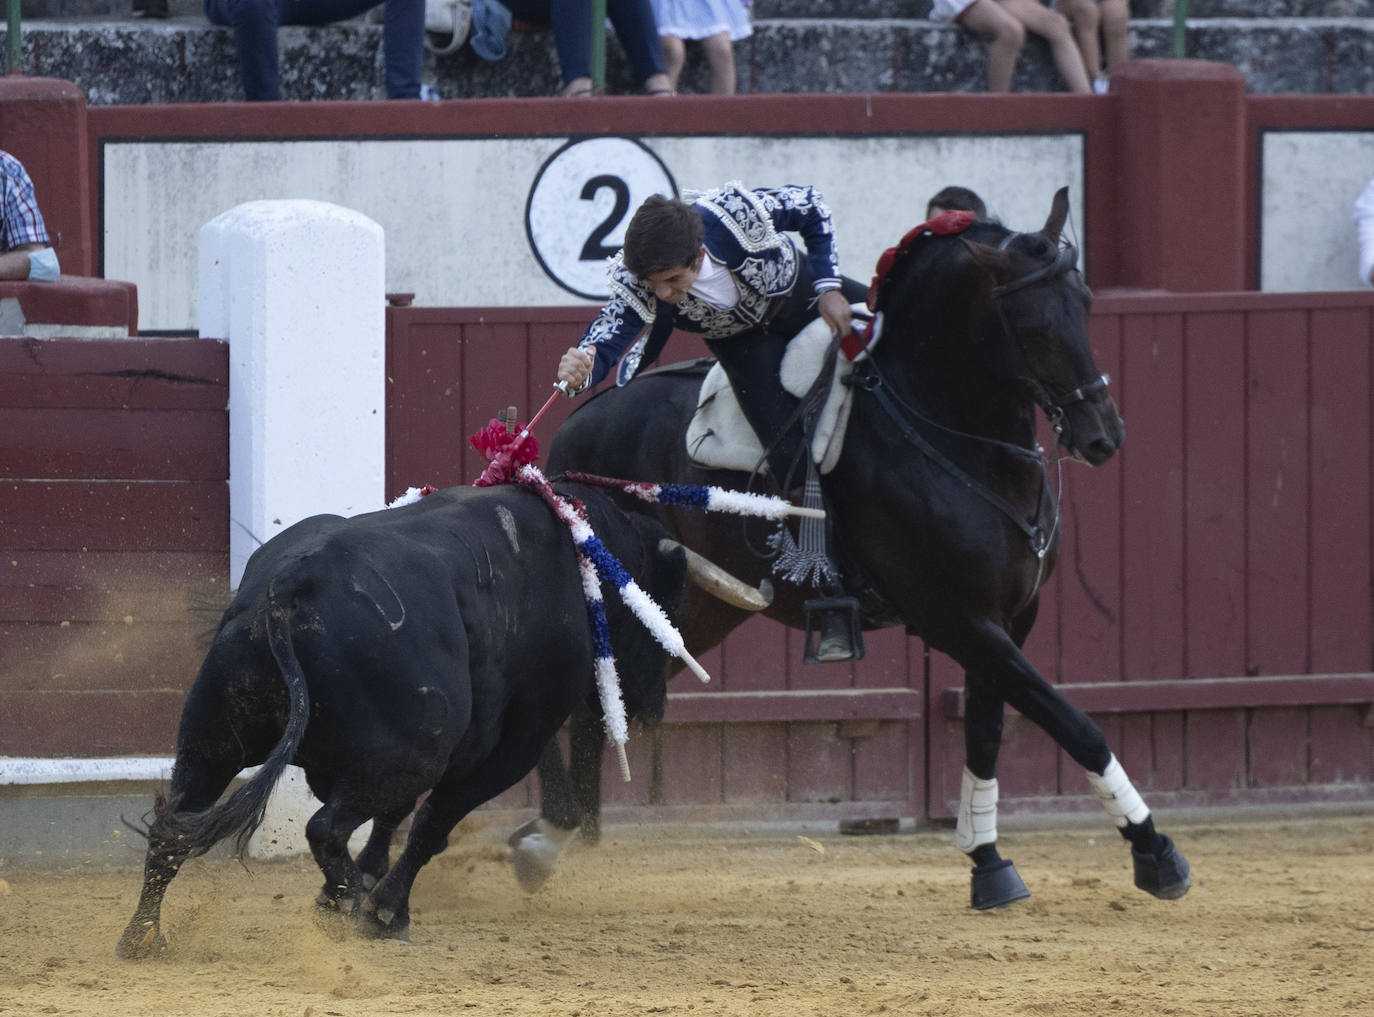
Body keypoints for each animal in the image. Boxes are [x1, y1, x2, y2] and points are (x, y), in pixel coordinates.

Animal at [118, 481, 687, 956]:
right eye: (660, 608)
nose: (653, 706)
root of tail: (289, 586)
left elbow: (395, 818)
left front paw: (367, 885)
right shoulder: (513, 746)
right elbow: (431, 825)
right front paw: (386, 911)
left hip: (211, 741)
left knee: (173, 825)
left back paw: (143, 938)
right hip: (403, 757)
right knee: (325, 827)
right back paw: (348, 910)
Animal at [516, 188, 1192, 907]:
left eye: (1086, 304)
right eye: (1031, 325)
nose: (1103, 436)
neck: (950, 434)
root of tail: (566, 438)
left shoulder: (1010, 618)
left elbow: (987, 730)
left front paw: (987, 862)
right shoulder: (959, 620)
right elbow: (1076, 724)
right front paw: (1156, 855)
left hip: (693, 615)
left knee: (597, 704)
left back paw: (565, 836)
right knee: (575, 695)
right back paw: (547, 836)